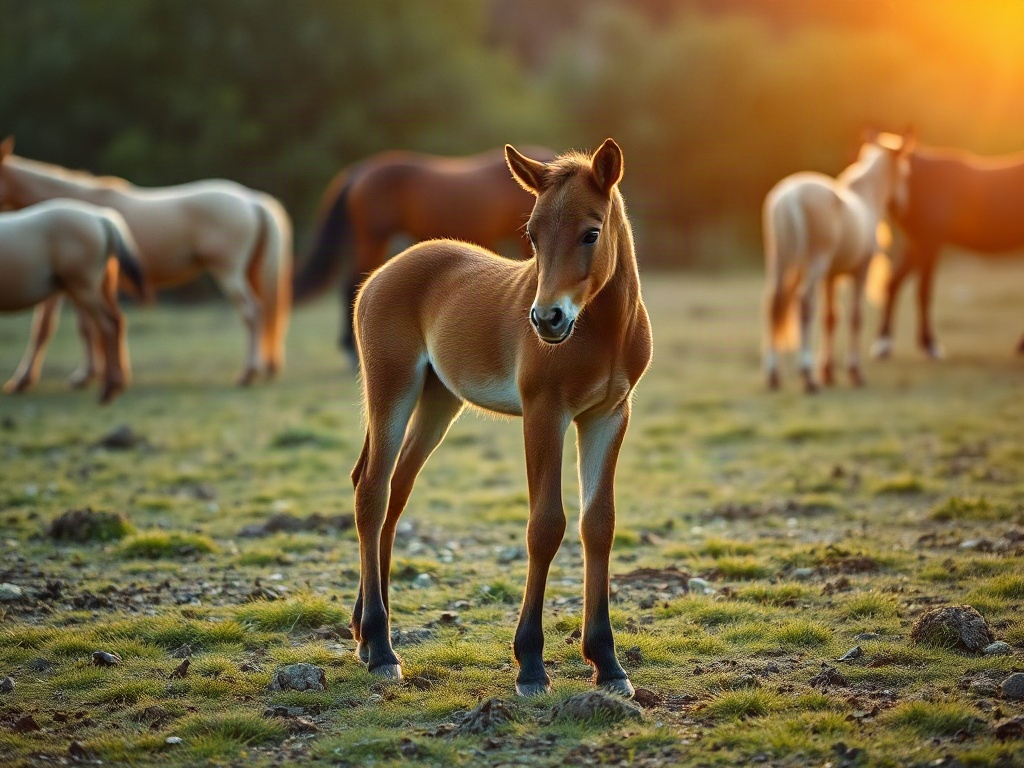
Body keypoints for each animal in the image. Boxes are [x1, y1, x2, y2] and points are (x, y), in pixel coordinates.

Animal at [0, 199, 149, 404]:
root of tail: (101, 218)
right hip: (93, 287)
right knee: (114, 322)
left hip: (83, 288)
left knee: (107, 325)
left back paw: (108, 390)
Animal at [349, 140, 652, 698]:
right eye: (531, 234)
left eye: (591, 231)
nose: (546, 319)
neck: (602, 332)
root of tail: (381, 273)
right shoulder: (544, 412)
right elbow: (545, 525)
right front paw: (530, 663)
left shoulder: (608, 415)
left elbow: (598, 524)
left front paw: (607, 663)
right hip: (392, 387)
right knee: (373, 493)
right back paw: (381, 648)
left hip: (438, 401)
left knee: (394, 491)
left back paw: (362, 631)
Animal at [762, 130, 913, 393]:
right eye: (905, 173)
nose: (904, 204)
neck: (866, 199)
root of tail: (791, 195)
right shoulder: (860, 270)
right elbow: (855, 317)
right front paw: (854, 372)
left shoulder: (831, 276)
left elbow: (830, 318)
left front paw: (828, 372)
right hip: (815, 261)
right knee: (804, 302)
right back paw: (807, 375)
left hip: (780, 260)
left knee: (774, 305)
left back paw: (773, 375)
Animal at [874, 143, 1024, 359]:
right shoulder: (930, 240)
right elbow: (924, 291)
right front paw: (929, 345)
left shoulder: (927, 241)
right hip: (920, 243)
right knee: (900, 284)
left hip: (917, 244)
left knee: (893, 283)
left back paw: (885, 343)